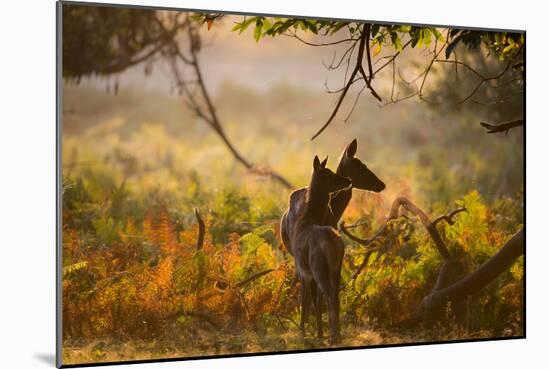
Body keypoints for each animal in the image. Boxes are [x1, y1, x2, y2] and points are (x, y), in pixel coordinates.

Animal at [294, 154, 354, 344]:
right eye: (327, 173)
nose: (348, 180)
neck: (306, 220)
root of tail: (334, 245)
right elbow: (316, 301)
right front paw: (318, 333)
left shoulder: (303, 269)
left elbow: (306, 299)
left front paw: (303, 330)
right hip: (337, 268)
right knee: (335, 296)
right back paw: (337, 335)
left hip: (319, 267)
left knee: (329, 295)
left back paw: (333, 337)